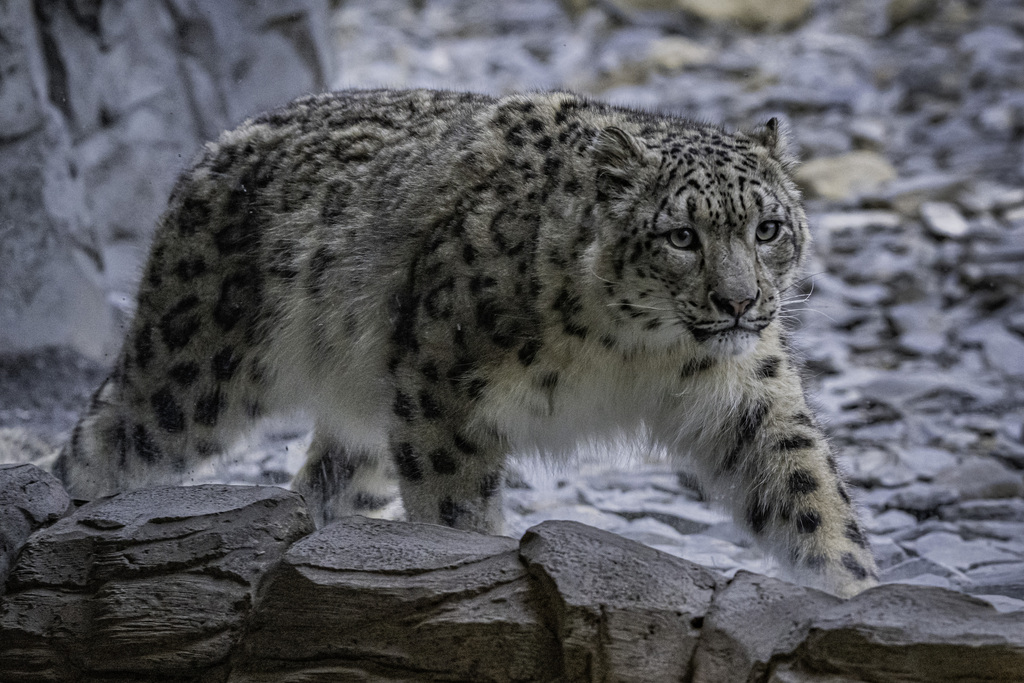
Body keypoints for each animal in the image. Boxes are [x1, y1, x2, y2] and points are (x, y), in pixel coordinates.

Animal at [55, 88, 878, 598]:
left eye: (766, 228)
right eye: (682, 235)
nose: (740, 302)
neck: (639, 350)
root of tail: (213, 146)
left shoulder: (750, 394)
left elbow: (807, 492)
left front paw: (850, 590)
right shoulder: (445, 392)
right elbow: (456, 515)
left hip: (367, 421)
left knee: (322, 482)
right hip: (194, 371)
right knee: (108, 438)